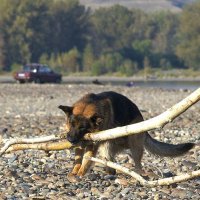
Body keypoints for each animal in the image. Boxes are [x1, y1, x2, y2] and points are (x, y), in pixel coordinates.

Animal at [58, 91, 195, 177]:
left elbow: (86, 160)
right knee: (111, 165)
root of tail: (142, 119)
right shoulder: (80, 144)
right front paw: (75, 171)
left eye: (82, 128)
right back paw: (110, 173)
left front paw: (81, 173)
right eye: (71, 124)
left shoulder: (92, 144)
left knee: (138, 165)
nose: (70, 139)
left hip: (134, 146)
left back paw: (138, 175)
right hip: (107, 149)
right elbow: (78, 159)